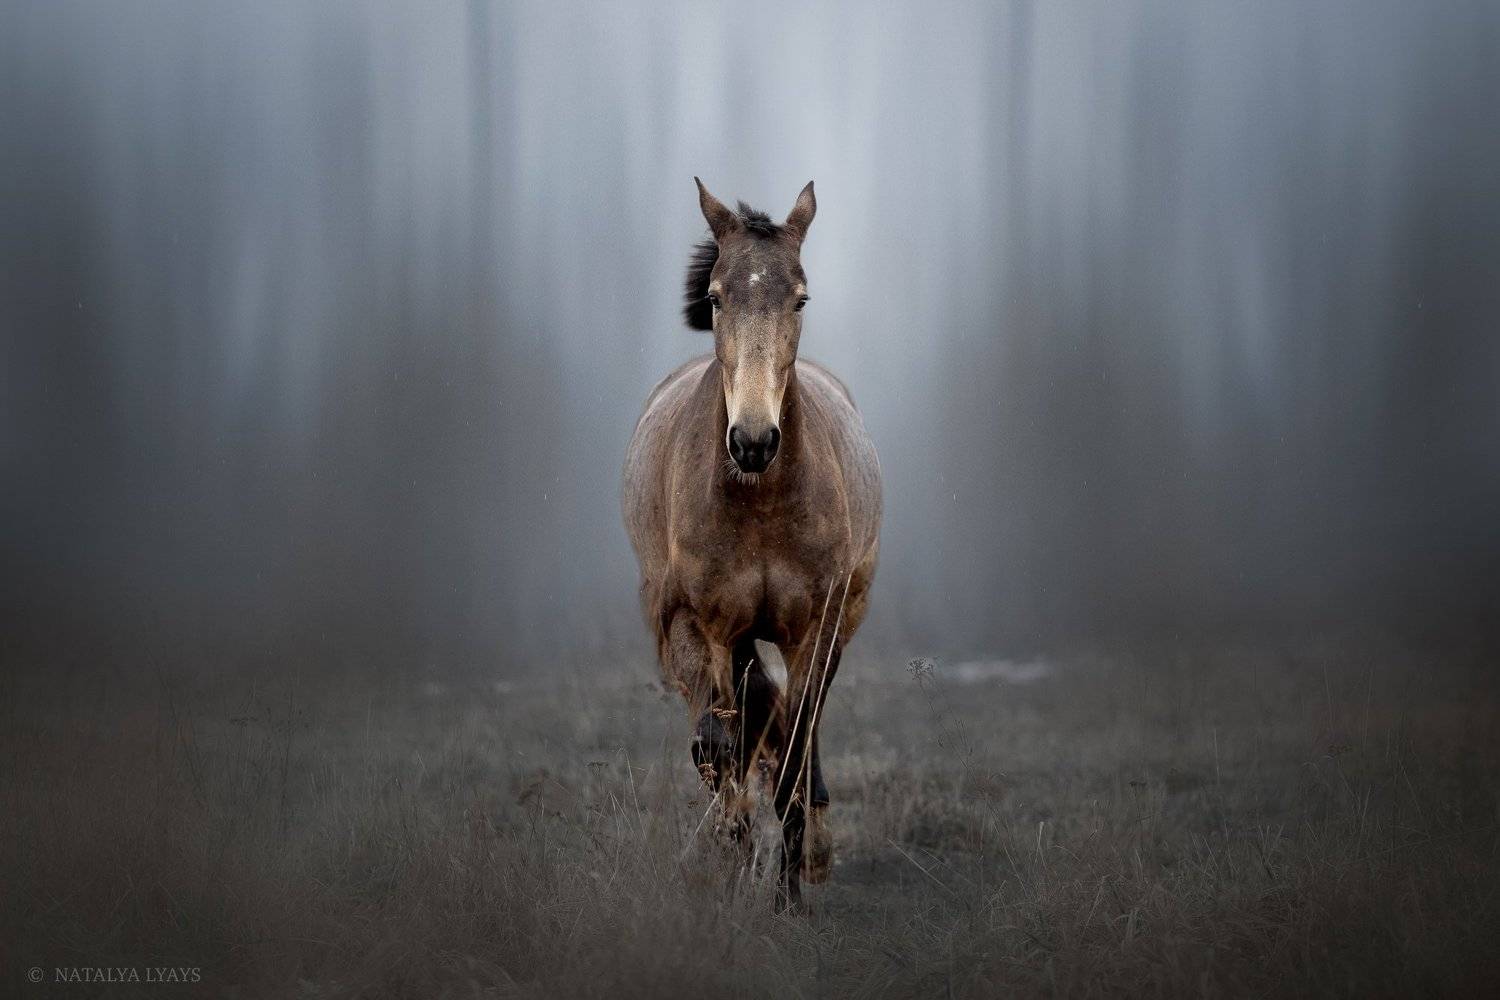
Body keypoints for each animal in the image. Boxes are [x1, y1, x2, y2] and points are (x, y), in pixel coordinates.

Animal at [621, 178, 882, 907]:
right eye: (715, 297)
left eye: (800, 298)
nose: (753, 441)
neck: (761, 502)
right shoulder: (702, 627)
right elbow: (721, 746)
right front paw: (734, 859)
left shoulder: (813, 630)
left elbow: (790, 756)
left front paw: (789, 895)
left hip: (840, 624)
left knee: (803, 726)